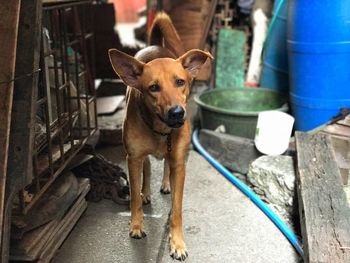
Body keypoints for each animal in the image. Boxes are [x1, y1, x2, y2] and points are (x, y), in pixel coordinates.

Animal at [109, 12, 213, 262]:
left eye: (180, 82)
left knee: (165, 165)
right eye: (153, 87)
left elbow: (177, 209)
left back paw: (166, 183)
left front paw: (177, 242)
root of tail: (155, 46)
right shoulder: (132, 158)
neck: (160, 130)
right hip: (139, 157)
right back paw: (146, 192)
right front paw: (136, 225)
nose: (177, 113)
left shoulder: (179, 162)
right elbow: (135, 197)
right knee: (147, 169)